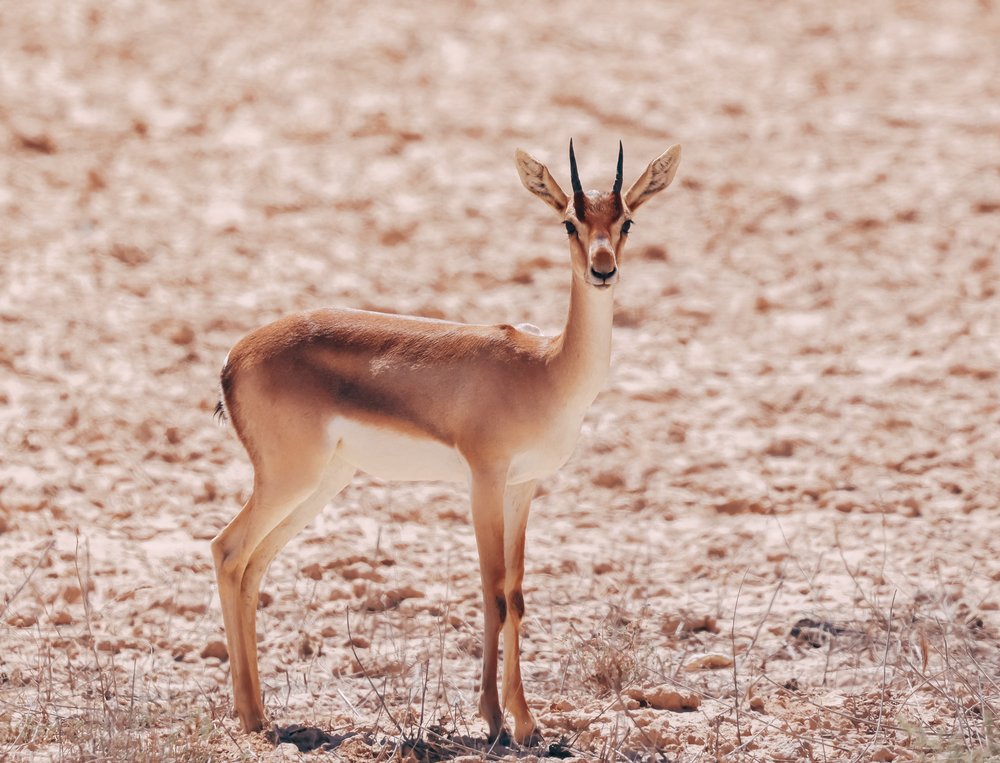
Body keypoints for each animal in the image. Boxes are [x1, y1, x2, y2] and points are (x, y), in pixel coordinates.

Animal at [211, 140, 682, 744]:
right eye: (569, 221)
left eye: (625, 221)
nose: (603, 270)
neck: (546, 368)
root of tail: (233, 357)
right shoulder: (484, 479)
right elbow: (493, 590)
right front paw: (495, 719)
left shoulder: (523, 486)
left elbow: (518, 594)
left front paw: (527, 723)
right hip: (289, 479)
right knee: (227, 551)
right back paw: (251, 717)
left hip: (321, 484)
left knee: (253, 567)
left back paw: (262, 713)